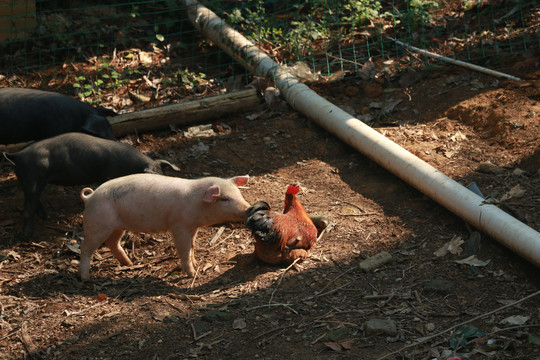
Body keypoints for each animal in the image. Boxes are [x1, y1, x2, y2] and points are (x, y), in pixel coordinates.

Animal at [3, 131, 181, 236]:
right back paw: (28, 236)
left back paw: (46, 217)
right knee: (28, 208)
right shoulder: (107, 175)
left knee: (34, 200)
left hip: (29, 182)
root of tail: (17, 155)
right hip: (32, 179)